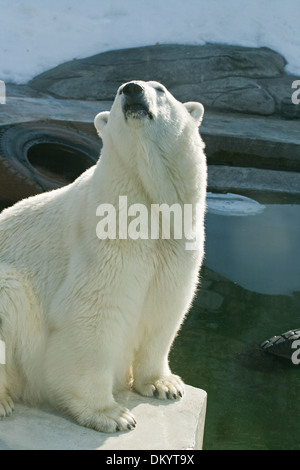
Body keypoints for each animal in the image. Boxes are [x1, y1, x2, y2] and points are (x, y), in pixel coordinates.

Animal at [0, 81, 206, 434]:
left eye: (160, 89)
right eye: (119, 90)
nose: (132, 89)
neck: (145, 207)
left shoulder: (178, 243)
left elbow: (166, 306)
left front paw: (164, 384)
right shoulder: (106, 241)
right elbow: (93, 314)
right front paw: (112, 414)